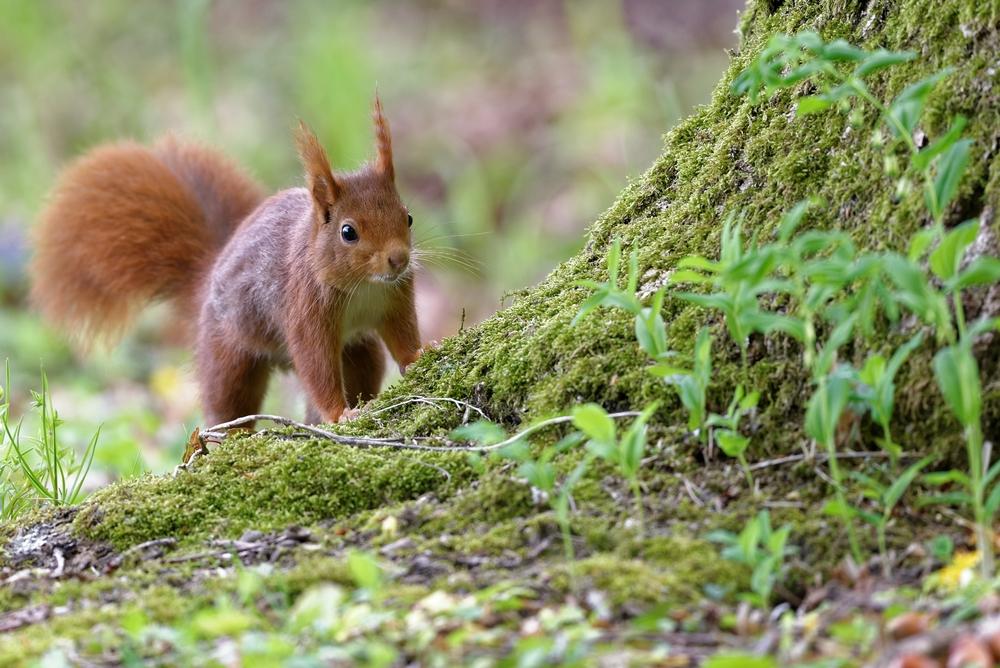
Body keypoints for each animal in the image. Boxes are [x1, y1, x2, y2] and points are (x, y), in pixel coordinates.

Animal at [30, 98, 422, 422]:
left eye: (408, 217)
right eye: (348, 232)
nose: (398, 260)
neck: (364, 286)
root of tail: (206, 279)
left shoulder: (395, 299)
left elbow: (402, 334)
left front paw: (419, 357)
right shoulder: (305, 308)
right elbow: (316, 366)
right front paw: (340, 413)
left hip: (359, 349)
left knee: (363, 368)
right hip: (227, 352)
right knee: (228, 403)